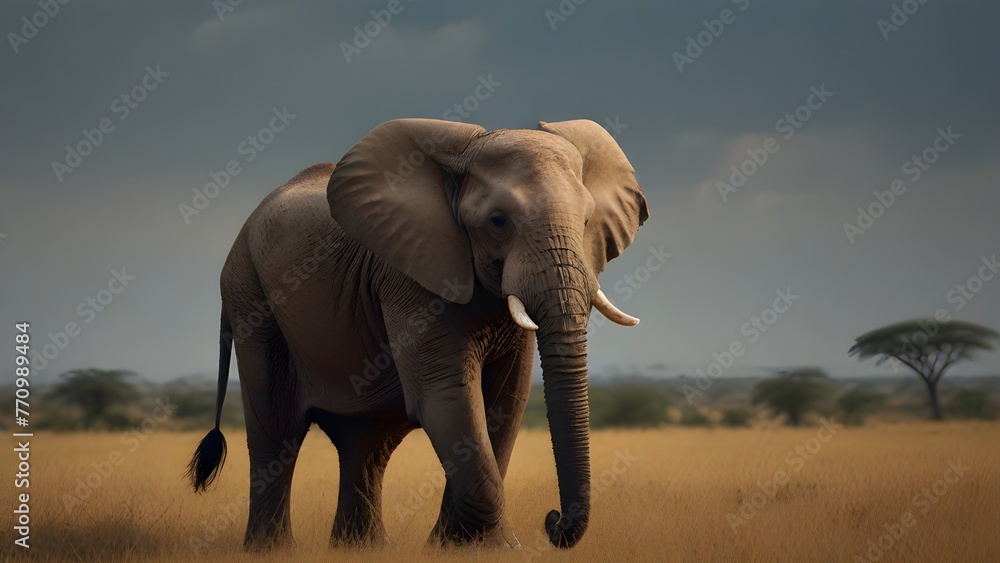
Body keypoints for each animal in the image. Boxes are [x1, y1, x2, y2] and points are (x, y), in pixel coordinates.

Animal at [187, 118, 649, 551]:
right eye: (498, 221)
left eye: (587, 221)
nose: (552, 522)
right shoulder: (409, 279)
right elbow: (447, 397)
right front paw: (496, 549)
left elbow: (506, 401)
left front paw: (456, 547)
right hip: (250, 297)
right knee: (277, 428)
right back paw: (271, 549)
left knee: (366, 440)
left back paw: (362, 548)